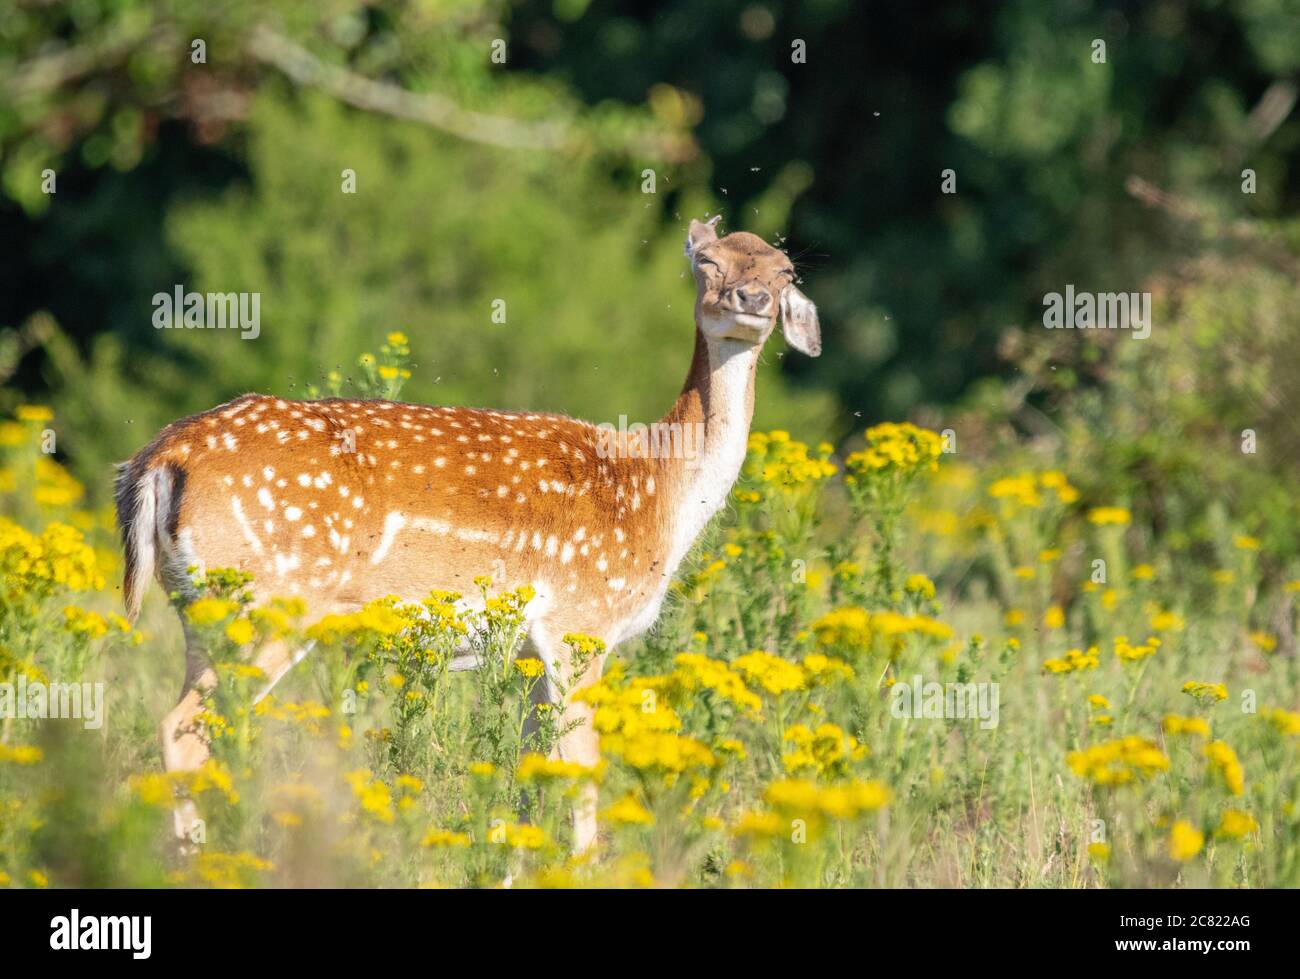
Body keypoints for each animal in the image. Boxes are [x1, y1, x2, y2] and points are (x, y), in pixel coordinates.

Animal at [115, 216, 820, 853]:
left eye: (785, 272)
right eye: (707, 261)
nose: (750, 300)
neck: (656, 495)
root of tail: (162, 456)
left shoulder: (535, 647)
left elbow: (536, 774)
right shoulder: (580, 621)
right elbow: (581, 772)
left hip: (200, 607)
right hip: (271, 599)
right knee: (185, 728)